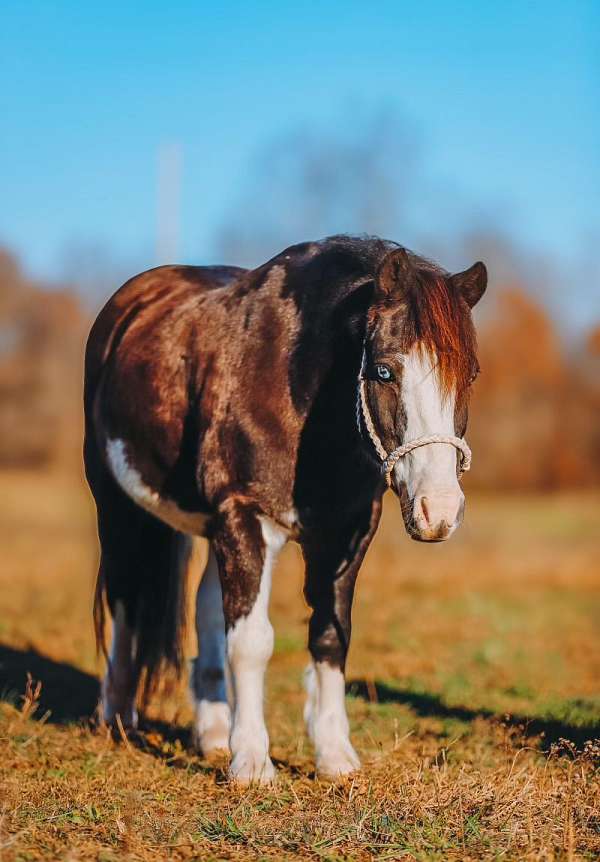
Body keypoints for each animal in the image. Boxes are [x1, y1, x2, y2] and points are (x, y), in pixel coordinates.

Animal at [84, 235, 487, 783]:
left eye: (470, 374)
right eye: (384, 370)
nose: (438, 509)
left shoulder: (346, 531)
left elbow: (329, 635)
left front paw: (335, 755)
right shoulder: (244, 516)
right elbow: (252, 641)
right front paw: (253, 763)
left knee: (206, 608)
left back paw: (213, 733)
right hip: (119, 507)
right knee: (126, 599)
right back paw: (118, 716)